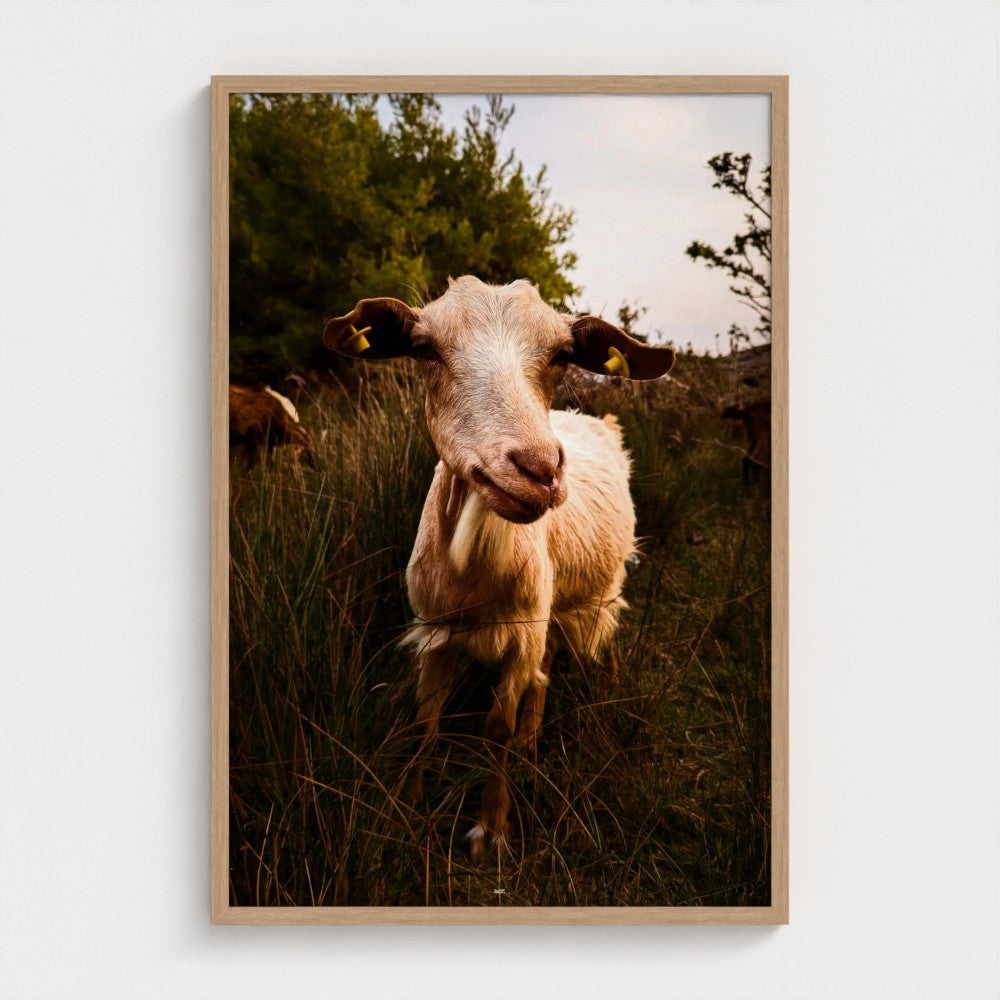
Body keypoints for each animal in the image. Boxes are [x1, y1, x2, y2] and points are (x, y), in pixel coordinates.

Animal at [324, 276, 675, 859]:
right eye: (425, 349)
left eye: (561, 356)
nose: (539, 469)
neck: (475, 578)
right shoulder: (435, 631)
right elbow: (424, 723)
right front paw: (405, 808)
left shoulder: (521, 633)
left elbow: (497, 727)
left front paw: (490, 829)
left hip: (582, 599)